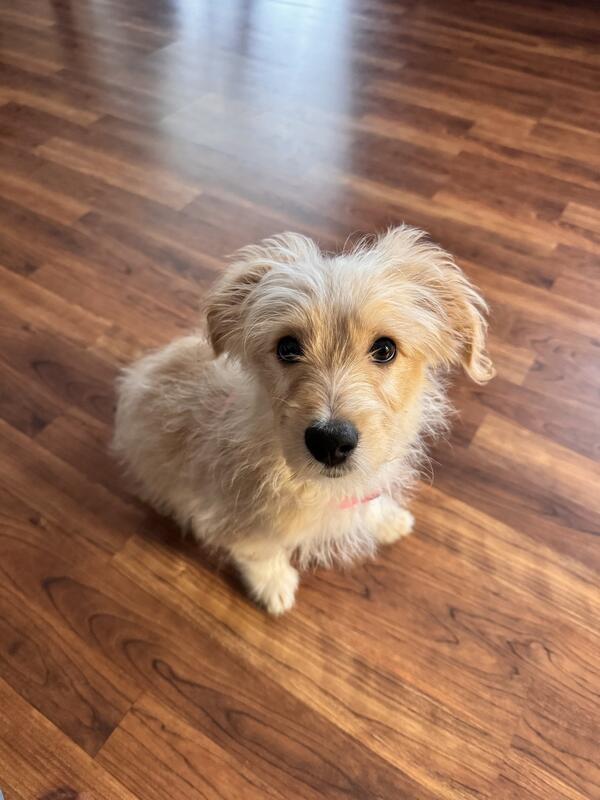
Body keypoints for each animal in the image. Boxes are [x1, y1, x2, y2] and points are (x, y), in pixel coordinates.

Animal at [113, 226, 494, 614]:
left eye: (385, 349)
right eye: (287, 348)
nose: (330, 442)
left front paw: (385, 517)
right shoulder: (238, 514)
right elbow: (257, 550)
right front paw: (273, 583)